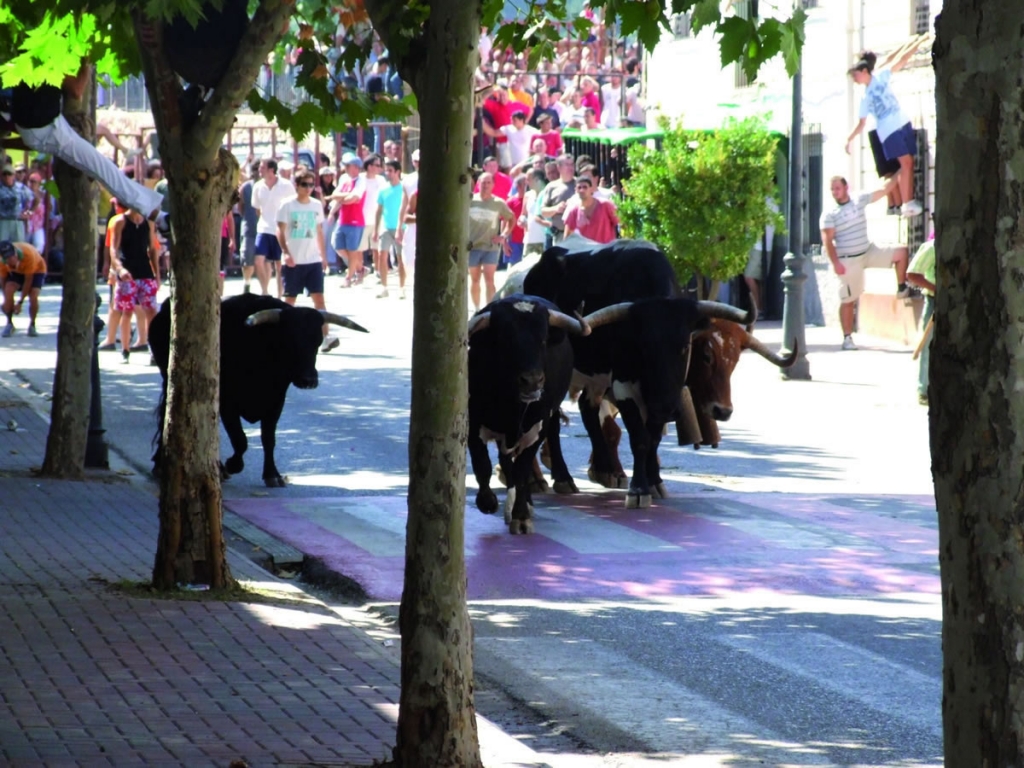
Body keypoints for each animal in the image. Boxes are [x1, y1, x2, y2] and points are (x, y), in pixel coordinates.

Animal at [148, 294, 364, 487]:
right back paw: (162, 465)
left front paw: (272, 475)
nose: (308, 380)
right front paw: (231, 465)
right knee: (168, 416)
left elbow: (268, 439)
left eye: (318, 341)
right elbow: (240, 439)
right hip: (171, 378)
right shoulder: (227, 404)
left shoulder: (276, 403)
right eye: (290, 340)